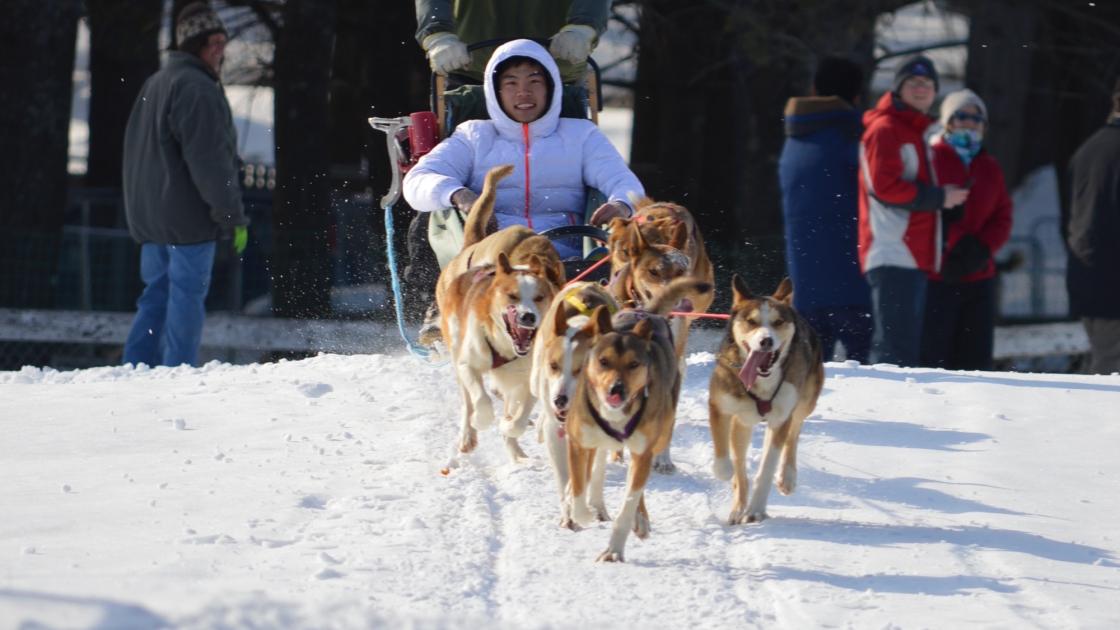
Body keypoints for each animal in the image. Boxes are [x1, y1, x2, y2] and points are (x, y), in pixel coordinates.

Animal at [434, 164, 560, 459]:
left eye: (539, 297)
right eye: (512, 295)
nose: (528, 316)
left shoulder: (528, 381)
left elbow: (520, 416)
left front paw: (511, 427)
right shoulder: (469, 364)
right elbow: (480, 400)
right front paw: (483, 420)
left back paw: (517, 453)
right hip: (457, 352)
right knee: (468, 402)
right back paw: (468, 433)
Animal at [564, 275, 712, 558]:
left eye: (634, 364)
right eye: (603, 361)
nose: (616, 389)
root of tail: (646, 313)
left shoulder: (642, 450)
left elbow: (629, 503)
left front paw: (614, 550)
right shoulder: (579, 443)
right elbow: (578, 486)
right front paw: (580, 512)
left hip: (657, 435)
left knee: (639, 483)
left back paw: (640, 519)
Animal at [707, 272, 824, 522]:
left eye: (778, 322)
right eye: (751, 322)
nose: (766, 341)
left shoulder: (780, 419)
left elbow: (767, 468)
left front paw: (756, 510)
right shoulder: (720, 407)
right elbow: (726, 461)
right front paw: (726, 474)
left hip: (805, 401)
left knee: (794, 432)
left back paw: (787, 477)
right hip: (742, 423)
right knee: (740, 463)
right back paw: (738, 506)